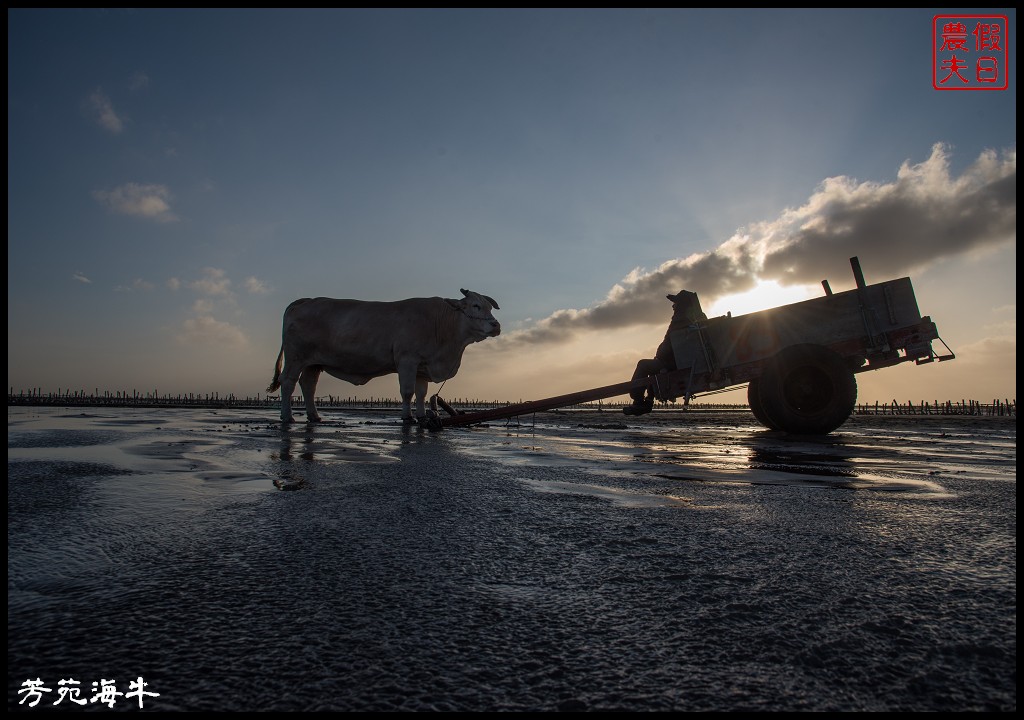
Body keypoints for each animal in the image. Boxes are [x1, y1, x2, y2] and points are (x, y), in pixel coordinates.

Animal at [266, 286, 501, 421]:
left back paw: (314, 416)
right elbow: (407, 392)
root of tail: (306, 300)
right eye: (475, 305)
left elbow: (421, 394)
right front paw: (408, 417)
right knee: (288, 382)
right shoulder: (407, 360)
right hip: (296, 358)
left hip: (314, 363)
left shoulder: (422, 369)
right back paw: (287, 417)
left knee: (308, 386)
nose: (496, 325)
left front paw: (423, 416)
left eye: (490, 307)